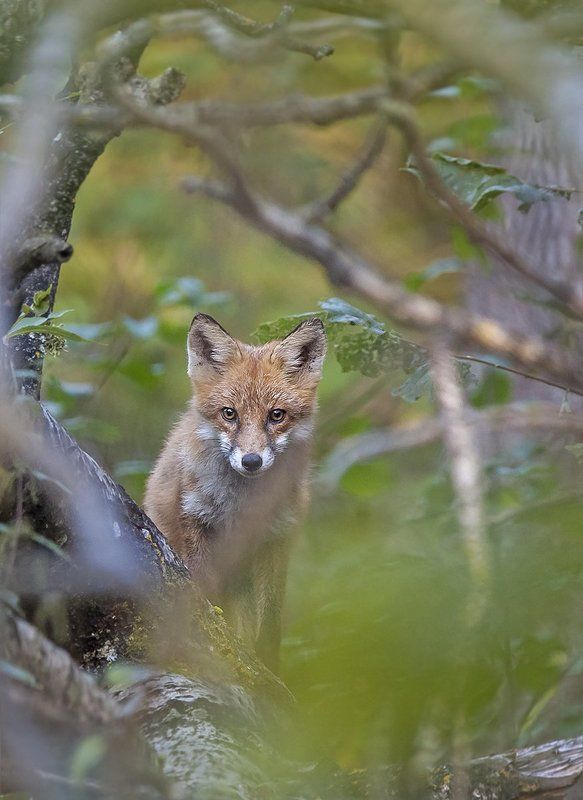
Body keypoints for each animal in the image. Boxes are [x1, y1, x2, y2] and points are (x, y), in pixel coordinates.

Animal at [144, 312, 326, 671]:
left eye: (276, 415)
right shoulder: (196, 523)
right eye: (229, 413)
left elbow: (269, 623)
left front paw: (269, 668)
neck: (241, 506)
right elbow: (208, 599)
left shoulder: (276, 538)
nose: (251, 461)